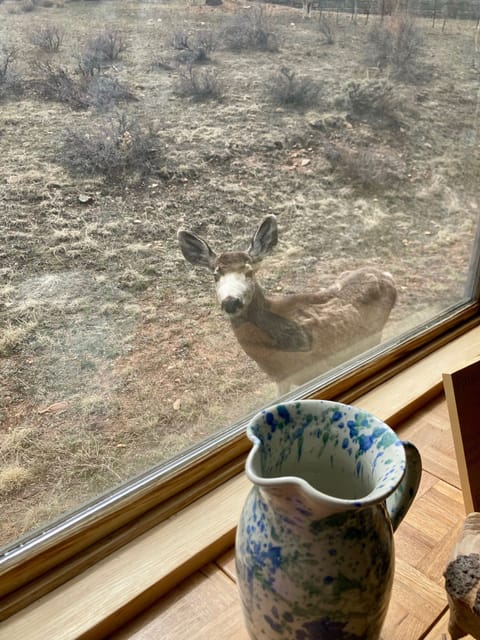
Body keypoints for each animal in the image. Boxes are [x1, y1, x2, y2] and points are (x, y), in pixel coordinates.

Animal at [178, 215, 396, 392]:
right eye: (215, 275)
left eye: (249, 271)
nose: (231, 302)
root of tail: (387, 276)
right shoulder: (280, 376)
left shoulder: (311, 368)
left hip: (374, 333)